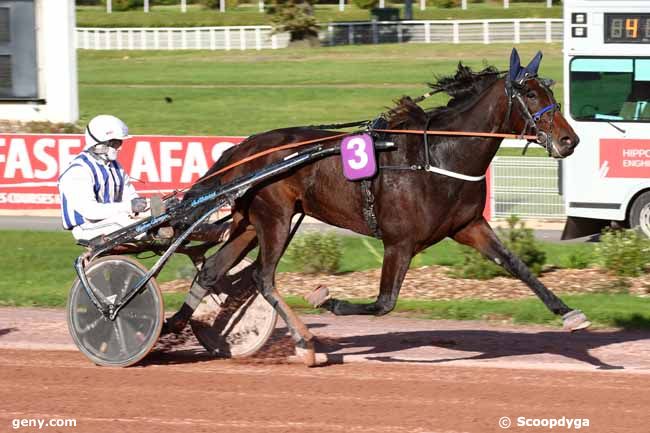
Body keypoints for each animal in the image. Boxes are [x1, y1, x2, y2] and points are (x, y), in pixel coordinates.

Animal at [175, 48, 584, 364]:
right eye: (528, 93)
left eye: (548, 90)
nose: (571, 140)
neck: (438, 156)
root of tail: (243, 148)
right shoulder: (399, 242)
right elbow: (384, 302)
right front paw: (326, 300)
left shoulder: (469, 226)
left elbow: (516, 264)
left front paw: (569, 314)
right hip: (274, 217)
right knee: (262, 277)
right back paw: (305, 343)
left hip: (249, 221)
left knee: (211, 270)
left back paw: (174, 325)